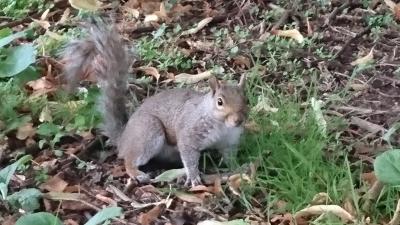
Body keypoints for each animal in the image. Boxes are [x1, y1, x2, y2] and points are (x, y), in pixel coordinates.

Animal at [61, 19, 248, 187]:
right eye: (219, 102)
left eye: (246, 99)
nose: (238, 120)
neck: (221, 125)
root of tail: (123, 139)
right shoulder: (190, 132)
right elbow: (189, 155)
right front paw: (194, 176)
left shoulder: (229, 141)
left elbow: (230, 157)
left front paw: (238, 168)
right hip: (148, 132)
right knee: (129, 159)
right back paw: (137, 173)